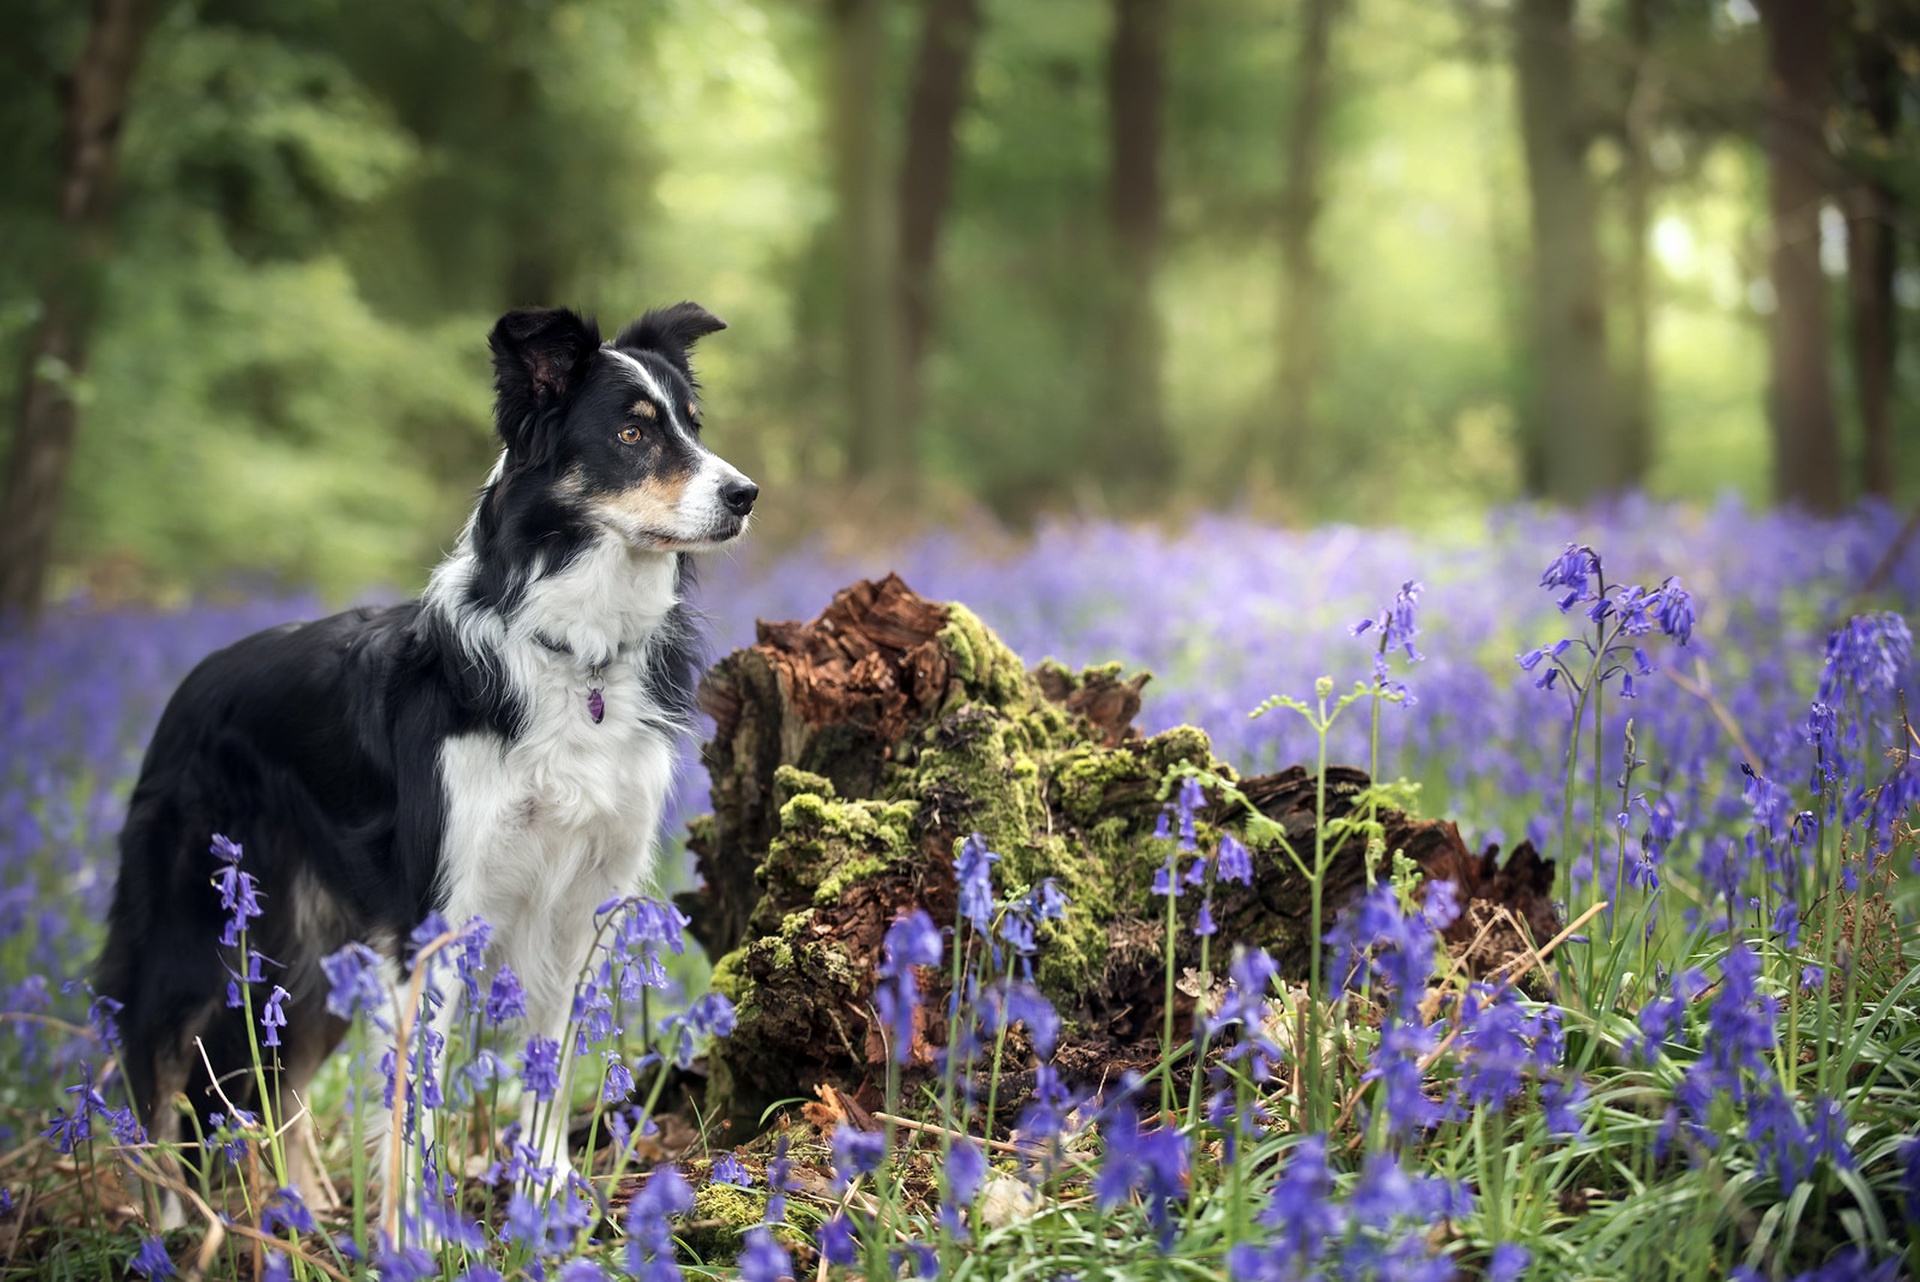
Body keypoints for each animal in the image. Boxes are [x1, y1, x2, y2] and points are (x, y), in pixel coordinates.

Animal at [97, 305, 752, 1205]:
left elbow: (552, 1064)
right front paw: (416, 1224)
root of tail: (188, 688)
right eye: (632, 432)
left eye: (692, 424)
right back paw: (175, 1219)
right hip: (192, 940)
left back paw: (304, 1211)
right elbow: (413, 1099)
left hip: (311, 953)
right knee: (161, 1082)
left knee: (282, 1078)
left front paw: (545, 1194)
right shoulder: (435, 915)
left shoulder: (584, 904)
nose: (746, 496)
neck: (573, 655)